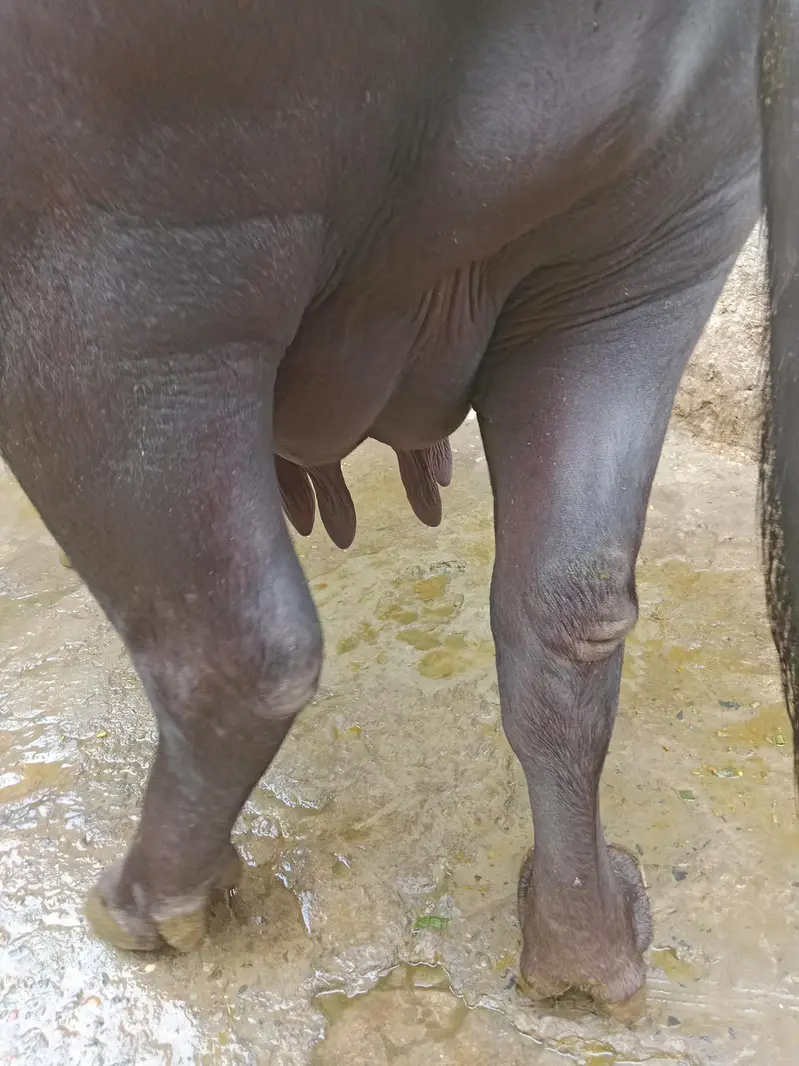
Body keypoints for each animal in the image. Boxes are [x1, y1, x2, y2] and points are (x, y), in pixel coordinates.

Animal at [0, 0, 796, 1016]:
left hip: (117, 284)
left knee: (233, 648)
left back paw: (143, 911)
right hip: (647, 265)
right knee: (567, 614)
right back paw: (587, 949)